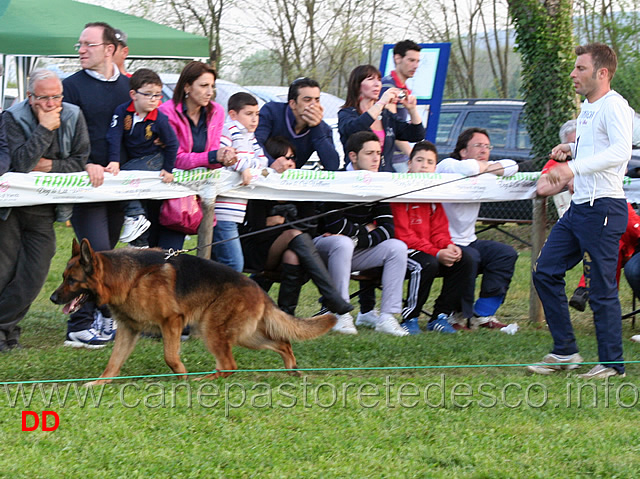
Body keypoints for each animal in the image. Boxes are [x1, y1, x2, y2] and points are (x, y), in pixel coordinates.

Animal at [49, 240, 338, 386]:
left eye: (72, 281)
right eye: (63, 277)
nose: (52, 298)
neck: (129, 278)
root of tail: (258, 289)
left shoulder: (172, 321)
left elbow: (170, 356)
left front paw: (182, 377)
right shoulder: (130, 330)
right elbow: (113, 362)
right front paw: (100, 383)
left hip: (212, 329)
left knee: (229, 365)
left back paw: (205, 378)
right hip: (247, 336)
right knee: (283, 343)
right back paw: (292, 369)